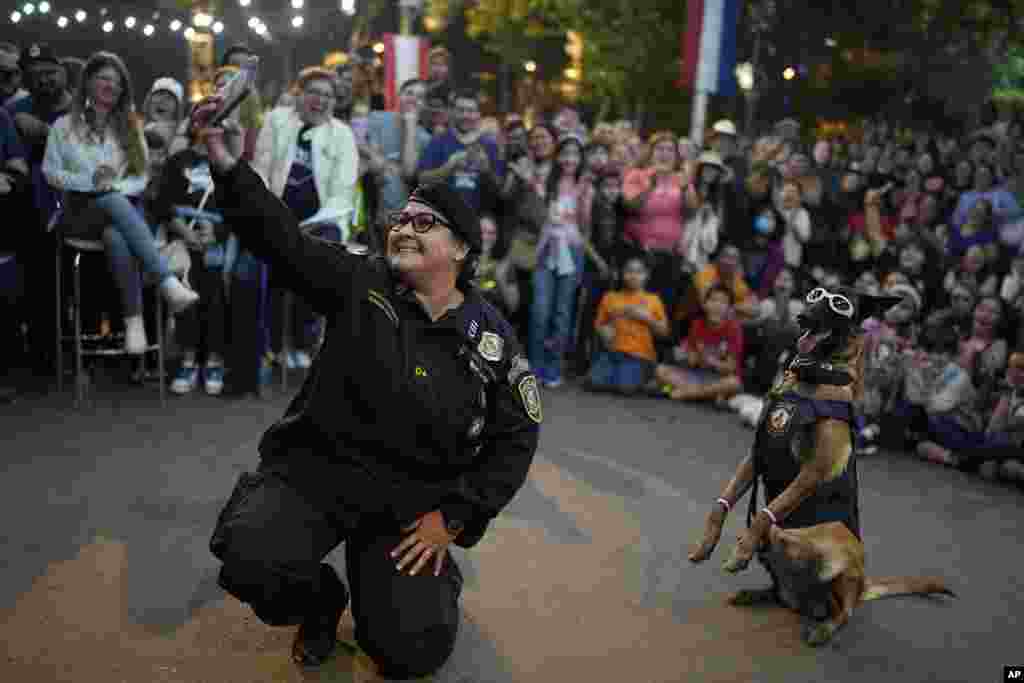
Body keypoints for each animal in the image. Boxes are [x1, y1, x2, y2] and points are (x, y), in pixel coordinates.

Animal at [684, 286, 954, 647]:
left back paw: (823, 626)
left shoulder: (814, 469)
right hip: (785, 571)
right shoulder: (754, 456)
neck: (813, 374)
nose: (802, 316)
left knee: (843, 610)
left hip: (840, 551)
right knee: (781, 590)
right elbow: (723, 503)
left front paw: (742, 550)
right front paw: (707, 543)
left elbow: (768, 513)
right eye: (815, 295)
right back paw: (759, 592)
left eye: (840, 304)